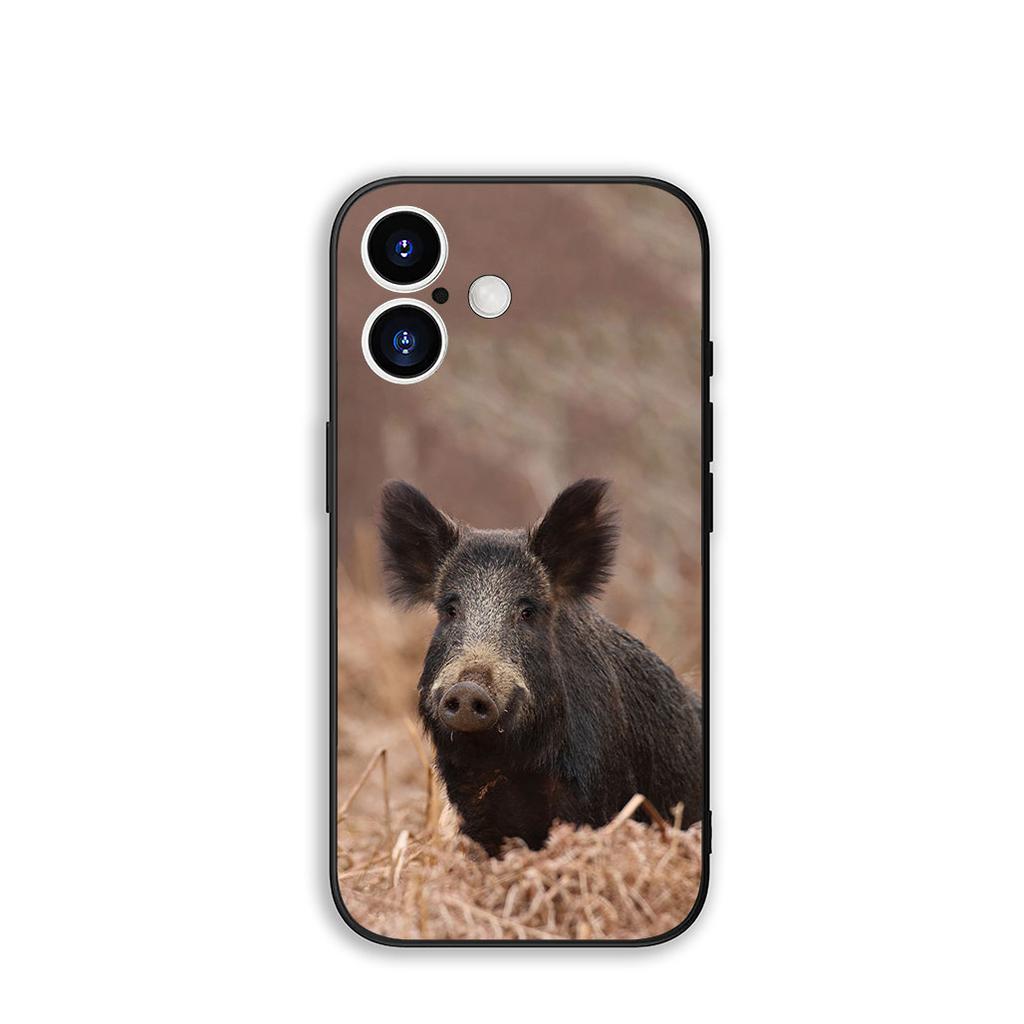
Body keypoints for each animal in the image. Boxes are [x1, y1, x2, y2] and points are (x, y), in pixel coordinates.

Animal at [379, 478, 703, 856]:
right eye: (450, 610)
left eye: (527, 611)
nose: (468, 688)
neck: (511, 762)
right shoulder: (474, 809)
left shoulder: (595, 795)